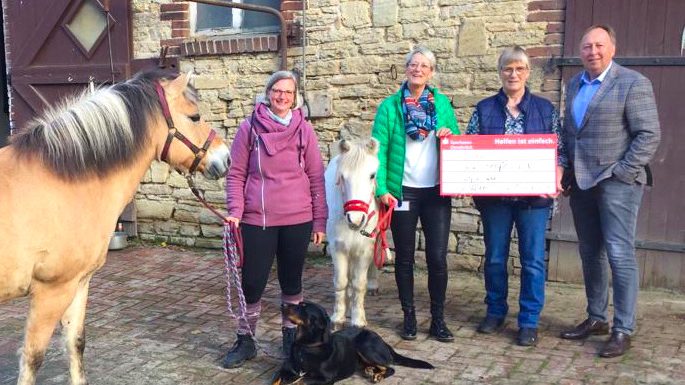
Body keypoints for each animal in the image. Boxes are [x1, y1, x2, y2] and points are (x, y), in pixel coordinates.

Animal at [0, 70, 231, 384]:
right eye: (194, 117)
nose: (226, 157)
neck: (62, 180)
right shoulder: (51, 291)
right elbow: (32, 359)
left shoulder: (78, 284)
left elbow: (75, 344)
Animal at [270, 302, 430, 382]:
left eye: (303, 307)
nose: (282, 305)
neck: (305, 346)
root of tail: (382, 340)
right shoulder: (283, 371)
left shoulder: (325, 379)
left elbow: (303, 381)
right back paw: (369, 369)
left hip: (365, 346)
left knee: (390, 368)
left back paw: (377, 375)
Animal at [324, 138, 388, 328]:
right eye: (342, 177)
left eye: (372, 175)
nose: (356, 219)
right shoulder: (338, 248)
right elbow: (341, 282)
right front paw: (337, 318)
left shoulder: (364, 249)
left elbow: (359, 284)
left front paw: (358, 319)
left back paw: (372, 285)